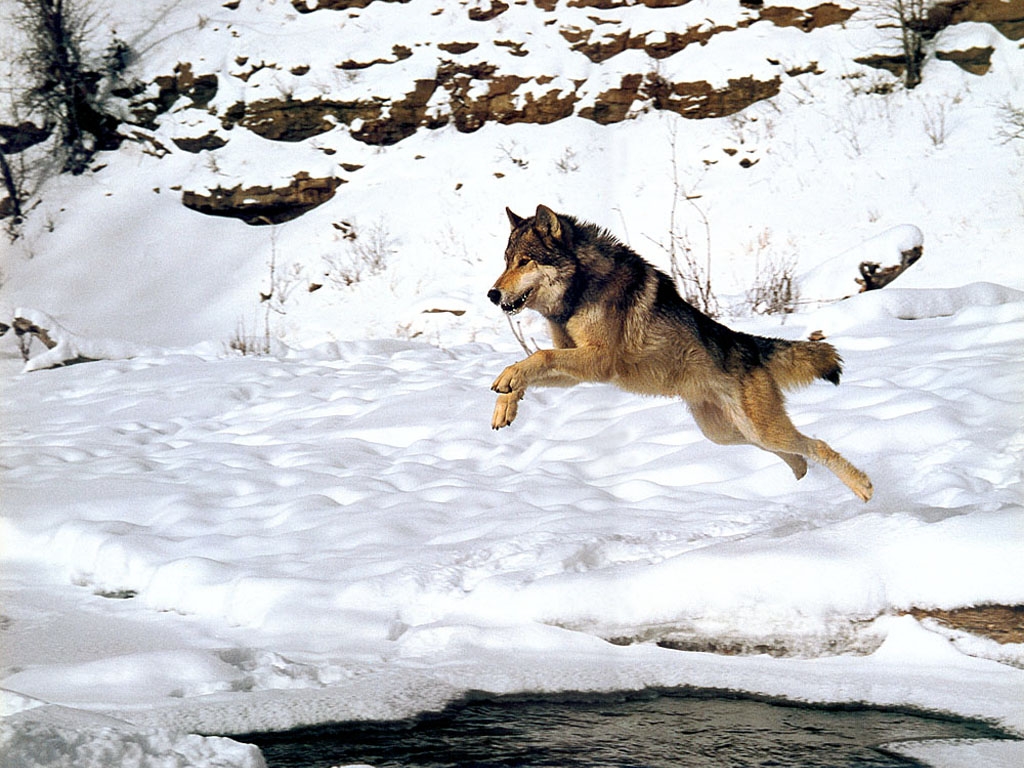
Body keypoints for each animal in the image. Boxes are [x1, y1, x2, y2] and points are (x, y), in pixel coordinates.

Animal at [487, 204, 873, 502]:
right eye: (505, 261)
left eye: (524, 262)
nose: (492, 294)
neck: (580, 289)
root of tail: (746, 342)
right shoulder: (574, 361)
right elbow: (529, 366)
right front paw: (506, 403)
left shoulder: (599, 361)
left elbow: (537, 358)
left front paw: (507, 382)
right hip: (729, 434)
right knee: (797, 454)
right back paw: (803, 480)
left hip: (758, 429)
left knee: (816, 444)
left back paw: (863, 487)